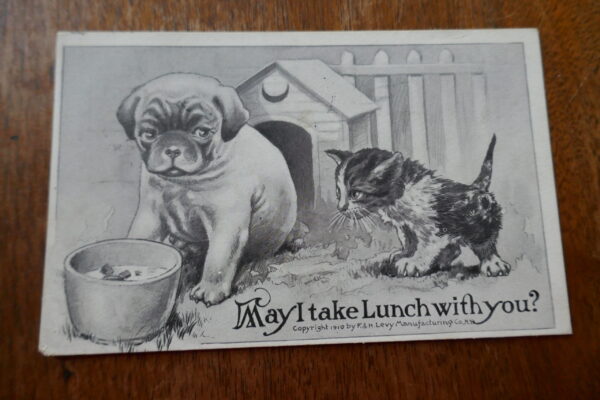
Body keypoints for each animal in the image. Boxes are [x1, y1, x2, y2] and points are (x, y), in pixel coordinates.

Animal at [116, 73, 298, 304]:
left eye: (202, 132)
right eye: (149, 134)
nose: (173, 149)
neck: (183, 182)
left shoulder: (226, 222)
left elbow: (218, 258)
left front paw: (211, 289)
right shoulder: (151, 215)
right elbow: (141, 238)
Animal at [326, 136, 508, 276]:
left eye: (355, 194)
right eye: (338, 192)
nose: (341, 208)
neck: (399, 196)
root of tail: (476, 187)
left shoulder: (430, 225)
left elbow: (426, 245)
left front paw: (413, 262)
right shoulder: (404, 224)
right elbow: (408, 239)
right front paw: (404, 253)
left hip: (480, 215)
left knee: (485, 238)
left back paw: (493, 262)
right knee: (455, 247)